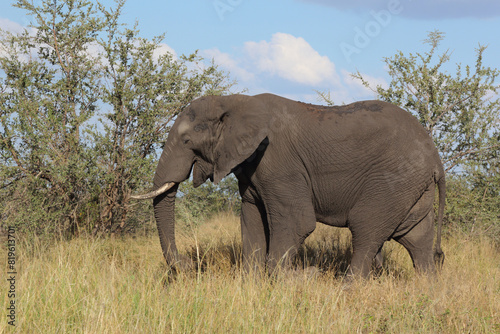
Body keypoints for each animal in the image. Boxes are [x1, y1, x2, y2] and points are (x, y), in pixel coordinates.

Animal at [132, 92, 446, 278]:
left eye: (187, 141)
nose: (188, 265)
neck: (235, 102)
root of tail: (435, 157)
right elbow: (251, 218)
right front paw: (252, 282)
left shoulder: (280, 162)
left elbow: (297, 222)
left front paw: (295, 279)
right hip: (413, 186)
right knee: (417, 239)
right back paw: (428, 289)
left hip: (394, 179)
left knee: (366, 229)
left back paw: (348, 288)